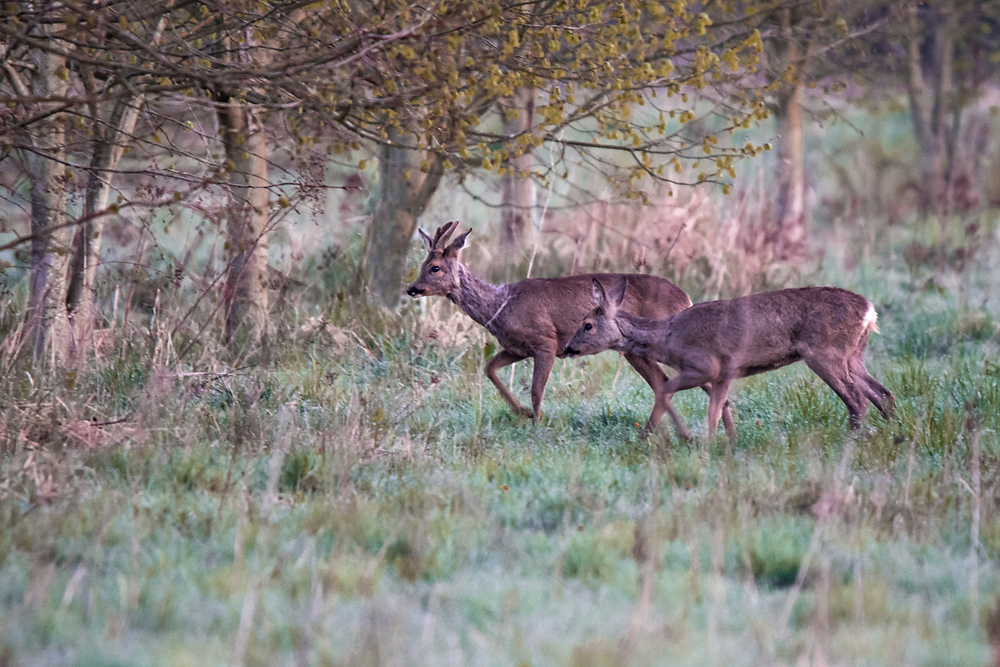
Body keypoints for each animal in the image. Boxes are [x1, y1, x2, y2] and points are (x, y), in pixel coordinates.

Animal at [404, 220, 736, 438]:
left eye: (435, 268)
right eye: (422, 264)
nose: (411, 288)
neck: (501, 305)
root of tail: (685, 297)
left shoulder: (546, 340)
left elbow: (536, 388)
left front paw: (536, 423)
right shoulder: (516, 347)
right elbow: (489, 369)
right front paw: (523, 413)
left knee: (695, 382)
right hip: (639, 351)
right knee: (663, 384)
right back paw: (692, 434)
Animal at [564, 276, 900, 444]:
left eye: (587, 325)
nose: (568, 347)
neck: (668, 339)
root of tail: (869, 310)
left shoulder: (704, 366)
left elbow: (665, 390)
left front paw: (647, 438)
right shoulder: (725, 373)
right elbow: (717, 407)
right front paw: (721, 443)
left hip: (825, 353)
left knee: (857, 400)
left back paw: (850, 441)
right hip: (853, 354)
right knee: (883, 394)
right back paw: (892, 434)